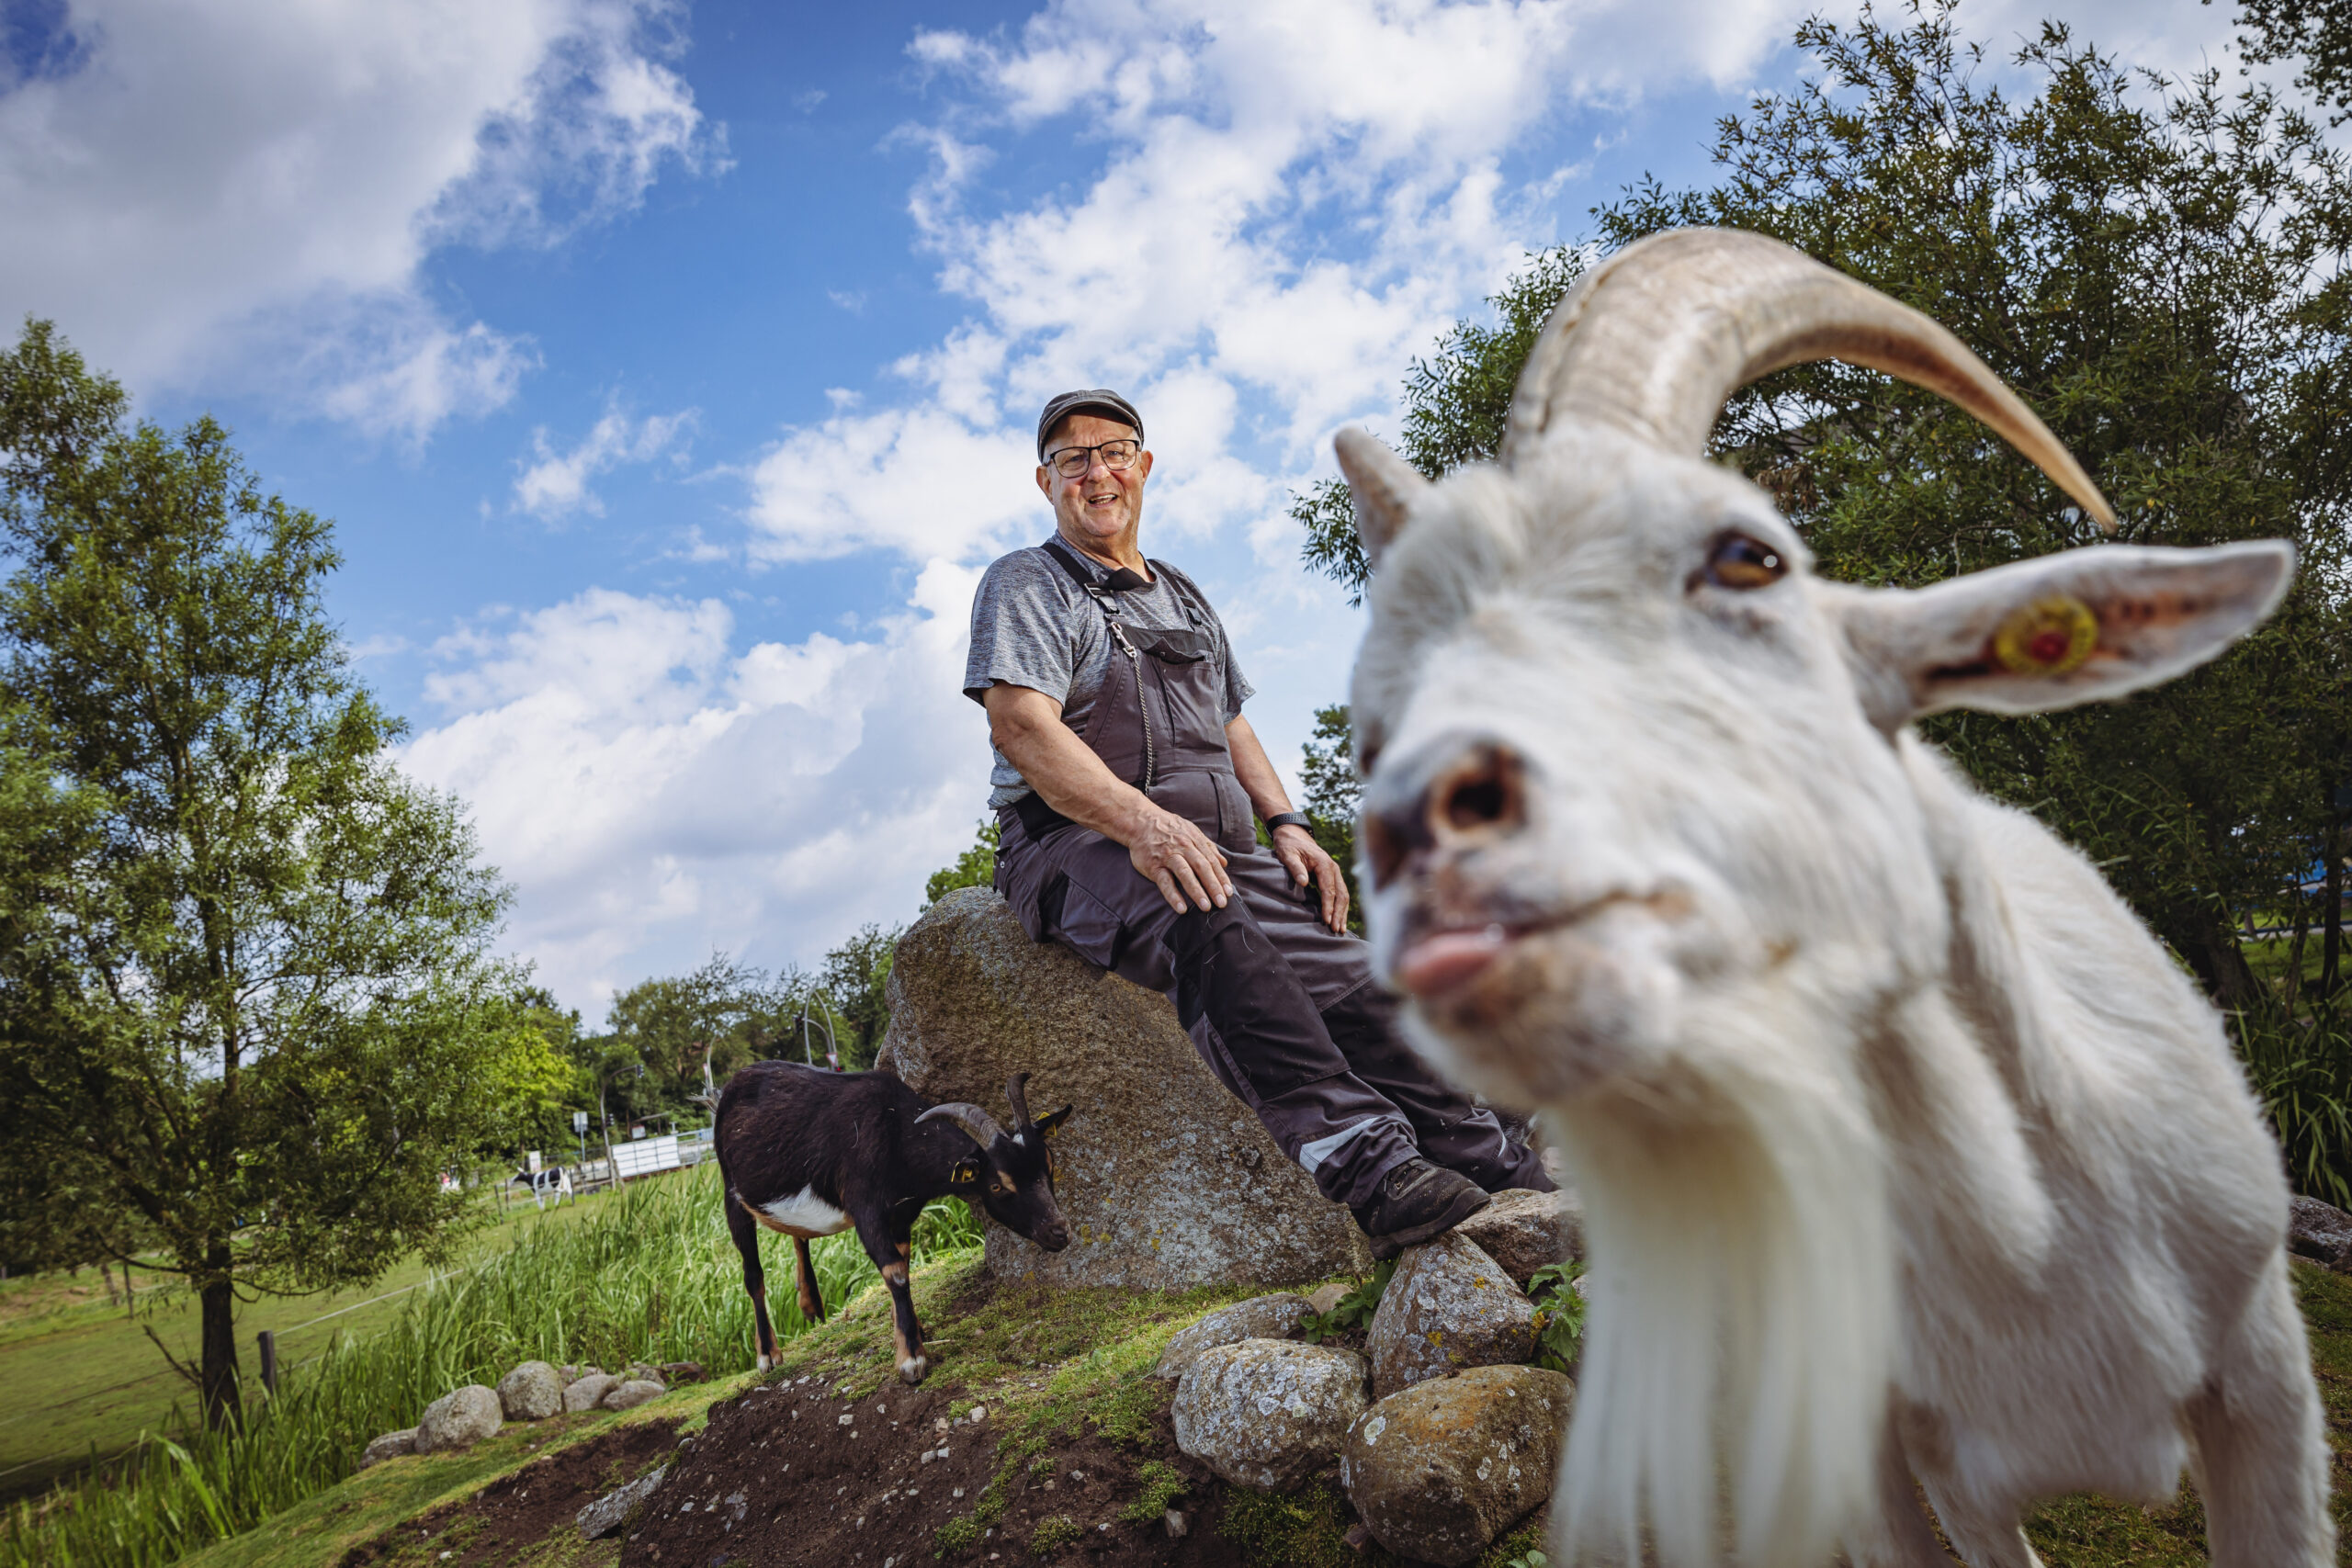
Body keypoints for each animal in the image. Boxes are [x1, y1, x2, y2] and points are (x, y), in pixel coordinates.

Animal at [706, 1066, 1077, 1382]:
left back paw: (810, 1303)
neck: (895, 1132)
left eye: (1049, 1164)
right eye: (998, 1185)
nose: (1060, 1232)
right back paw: (768, 1355)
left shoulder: (902, 1216)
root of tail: (729, 1087)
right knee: (753, 1275)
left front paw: (911, 1328)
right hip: (730, 1192)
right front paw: (911, 1359)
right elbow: (895, 1272)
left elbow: (904, 1264)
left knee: (799, 1238)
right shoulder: (866, 1209)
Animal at [1345, 230, 2333, 1568]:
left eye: (1748, 556)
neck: (2032, 1266)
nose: (1414, 826)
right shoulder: (1901, 1462)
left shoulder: (2266, 1374)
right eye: (1369, 727)